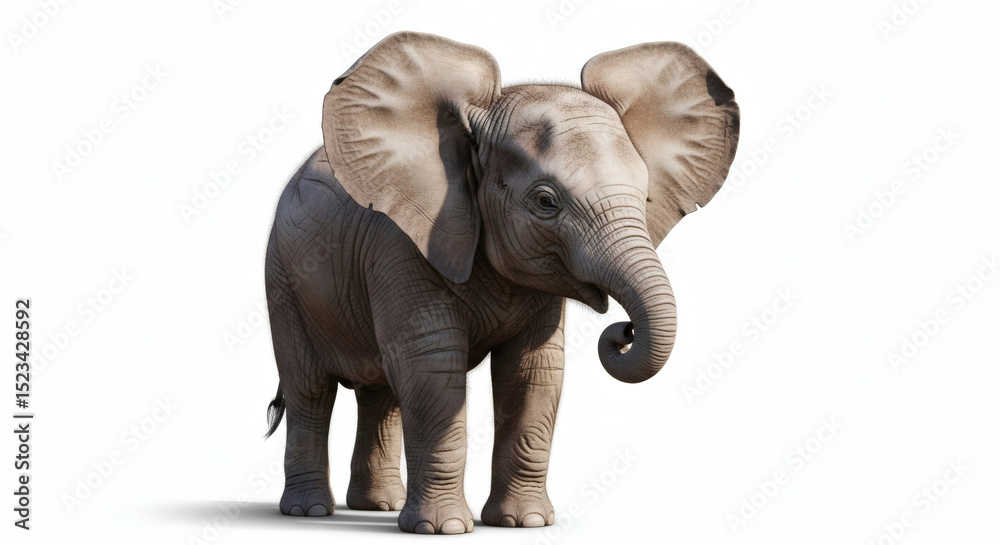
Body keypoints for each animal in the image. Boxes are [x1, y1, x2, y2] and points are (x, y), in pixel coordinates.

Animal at [263, 31, 739, 534]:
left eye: (645, 196)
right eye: (546, 202)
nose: (623, 331)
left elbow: (532, 372)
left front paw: (524, 523)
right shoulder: (401, 243)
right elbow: (431, 365)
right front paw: (443, 529)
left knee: (381, 395)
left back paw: (379, 507)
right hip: (283, 279)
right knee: (310, 389)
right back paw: (309, 512)